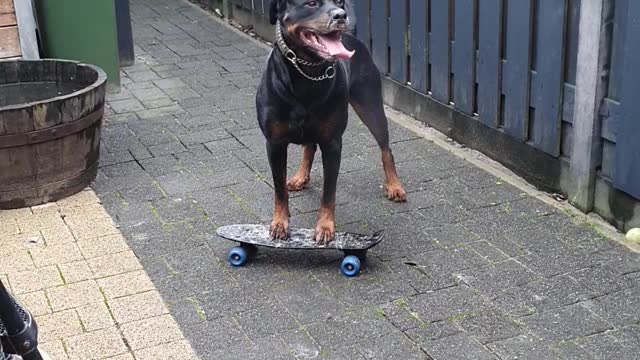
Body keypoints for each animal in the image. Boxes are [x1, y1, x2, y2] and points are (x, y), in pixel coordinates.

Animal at [255, 0, 404, 245]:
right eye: (311, 3)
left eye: (340, 2)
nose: (341, 15)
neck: (307, 73)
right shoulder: (274, 143)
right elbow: (279, 188)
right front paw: (279, 223)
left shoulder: (333, 143)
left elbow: (329, 191)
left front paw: (325, 227)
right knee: (309, 146)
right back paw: (300, 177)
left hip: (370, 105)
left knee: (386, 148)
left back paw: (394, 186)